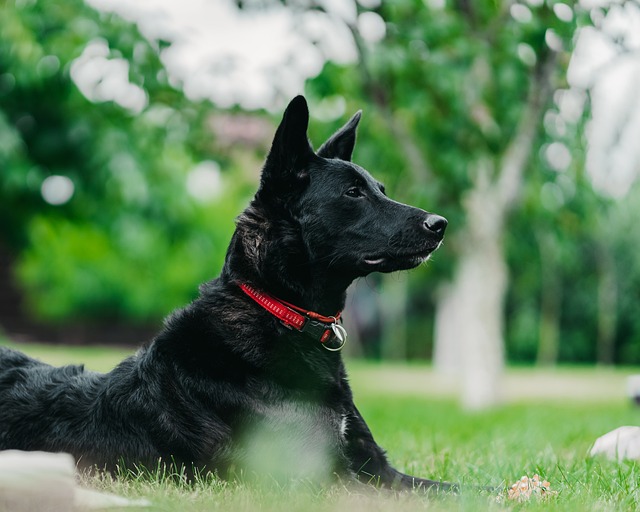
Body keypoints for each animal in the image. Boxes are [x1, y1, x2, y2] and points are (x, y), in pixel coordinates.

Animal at [0, 97, 450, 492]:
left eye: (380, 188)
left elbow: (457, 489)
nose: (440, 224)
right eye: (353, 193)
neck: (279, 312)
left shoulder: (381, 470)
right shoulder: (316, 481)